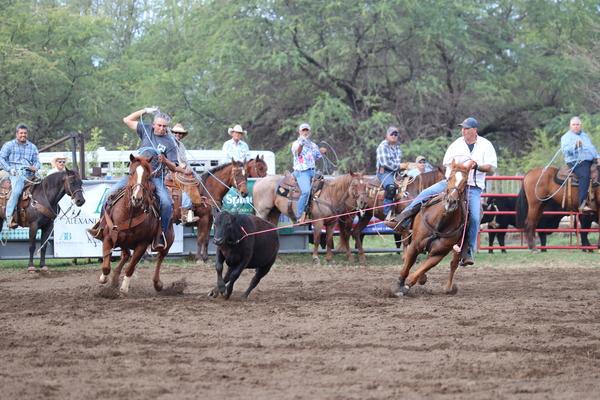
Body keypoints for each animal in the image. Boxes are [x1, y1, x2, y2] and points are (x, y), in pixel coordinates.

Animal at [97, 155, 173, 292]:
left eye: (147, 176)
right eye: (131, 173)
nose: (137, 198)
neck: (130, 213)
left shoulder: (142, 244)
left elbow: (131, 267)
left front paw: (124, 287)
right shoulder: (109, 236)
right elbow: (106, 266)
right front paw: (104, 278)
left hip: (168, 241)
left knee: (160, 257)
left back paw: (157, 283)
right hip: (122, 240)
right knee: (126, 255)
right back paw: (114, 278)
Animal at [390, 162, 474, 296]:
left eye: (465, 182)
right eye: (449, 178)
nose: (451, 202)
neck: (440, 223)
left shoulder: (438, 254)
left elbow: (419, 271)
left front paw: (408, 285)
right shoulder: (414, 245)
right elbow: (406, 266)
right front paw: (399, 285)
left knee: (453, 264)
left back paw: (448, 288)